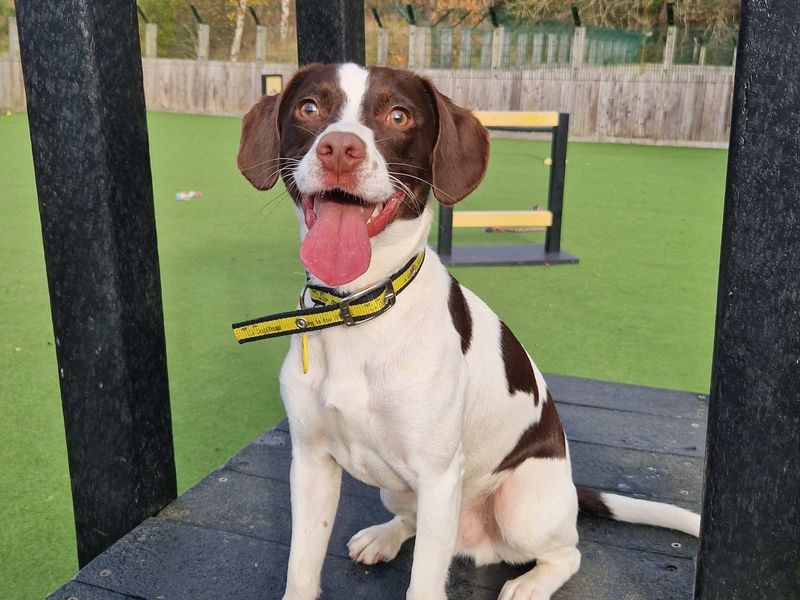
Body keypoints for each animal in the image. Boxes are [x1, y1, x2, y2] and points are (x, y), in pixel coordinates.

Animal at [234, 64, 696, 600]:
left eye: (399, 115)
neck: (359, 309)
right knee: (415, 524)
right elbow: (302, 567)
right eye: (309, 107)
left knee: (569, 551)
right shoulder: (311, 463)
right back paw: (383, 537)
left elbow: (423, 584)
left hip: (521, 507)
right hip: (398, 489)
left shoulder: (437, 476)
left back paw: (530, 584)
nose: (340, 148)